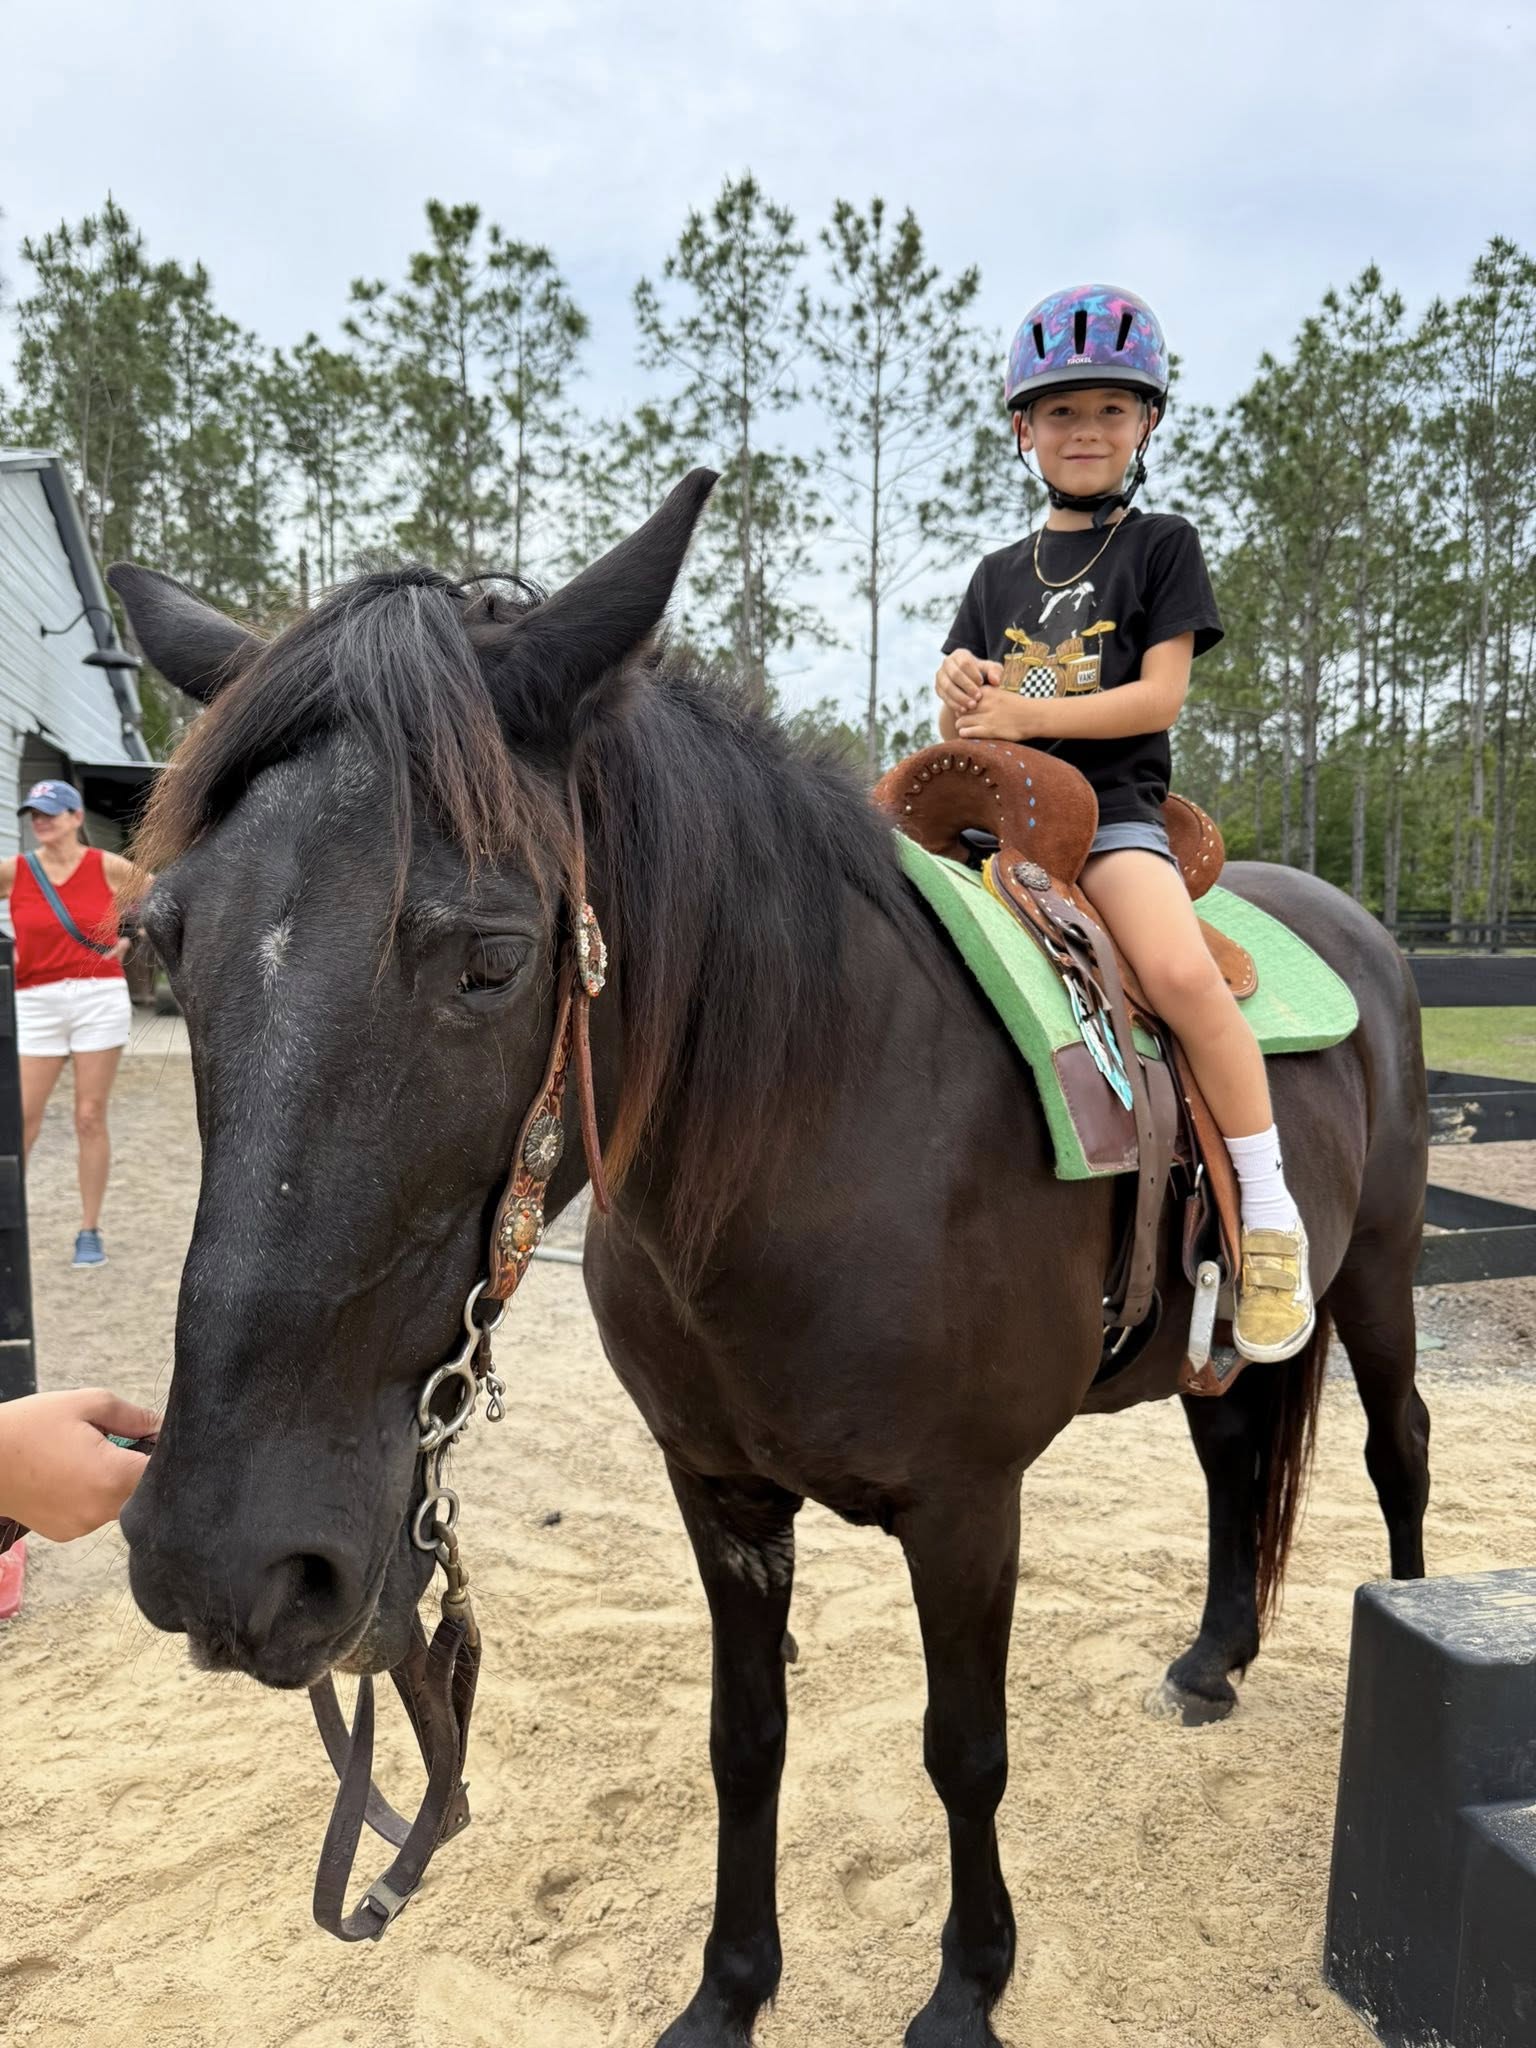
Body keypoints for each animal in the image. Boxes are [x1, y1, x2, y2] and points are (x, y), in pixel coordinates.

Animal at [109, 470, 1430, 2048]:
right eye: (163, 940)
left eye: (492, 957)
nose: (219, 1559)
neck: (829, 1133)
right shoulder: (719, 1491)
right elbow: (745, 1740)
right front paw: (728, 1989)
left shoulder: (968, 1506)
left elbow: (965, 1748)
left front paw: (965, 1989)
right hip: (1206, 1344)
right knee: (1235, 1453)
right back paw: (1212, 1663)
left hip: (1384, 1271)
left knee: (1401, 1446)